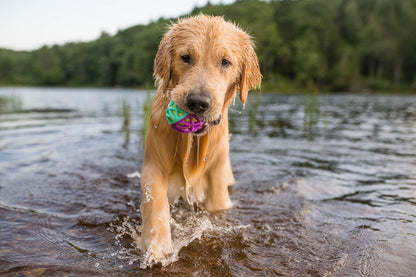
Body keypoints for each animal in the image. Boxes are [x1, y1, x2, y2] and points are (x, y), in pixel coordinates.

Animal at [141, 14, 262, 260]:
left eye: (225, 62)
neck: (192, 141)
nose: (198, 102)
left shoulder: (216, 177)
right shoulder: (153, 165)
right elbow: (155, 204)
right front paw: (157, 247)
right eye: (186, 57)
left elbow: (217, 205)